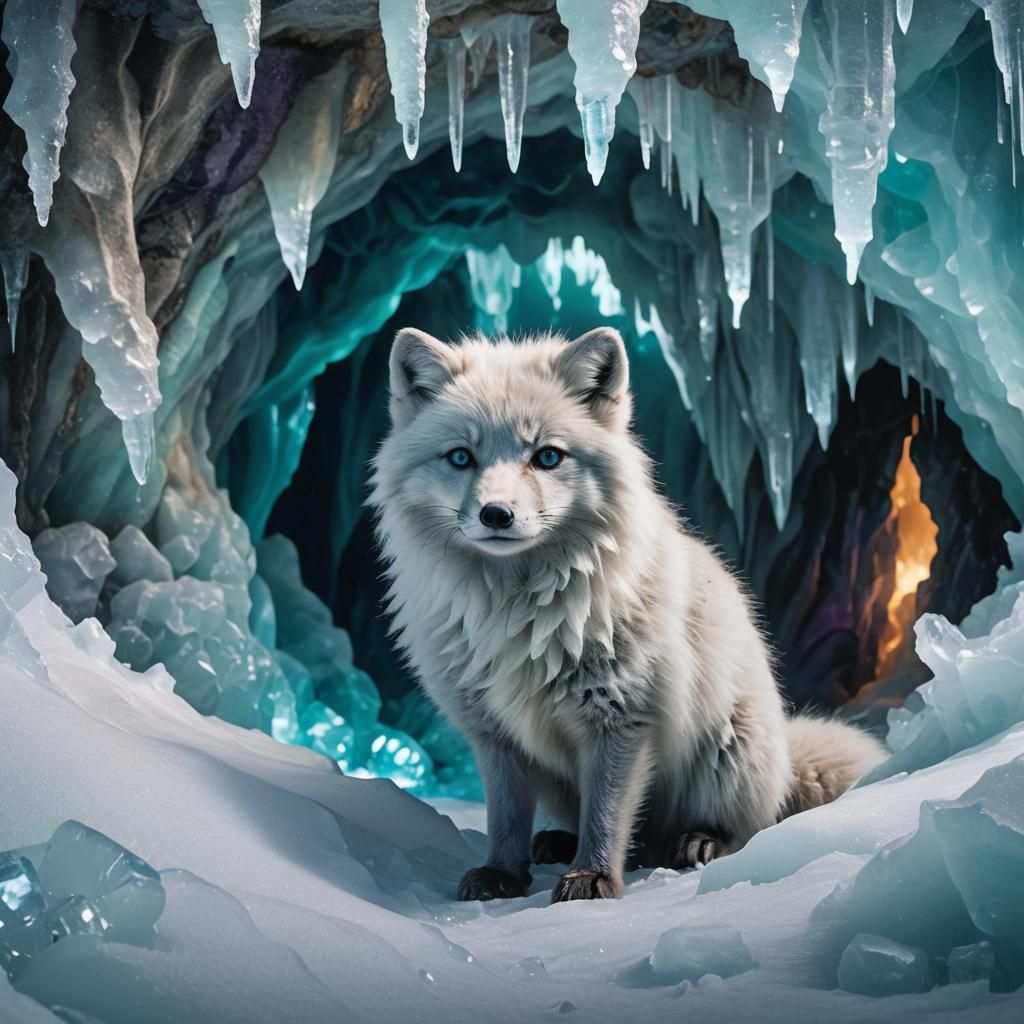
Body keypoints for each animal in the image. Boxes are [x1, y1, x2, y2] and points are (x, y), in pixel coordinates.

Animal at [370, 326, 886, 903]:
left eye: (547, 457)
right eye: (461, 457)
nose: (496, 514)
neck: (515, 615)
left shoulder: (623, 718)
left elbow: (607, 814)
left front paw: (593, 878)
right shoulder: (494, 733)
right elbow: (505, 816)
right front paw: (503, 874)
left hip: (729, 753)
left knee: (739, 830)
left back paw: (701, 841)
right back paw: (556, 842)